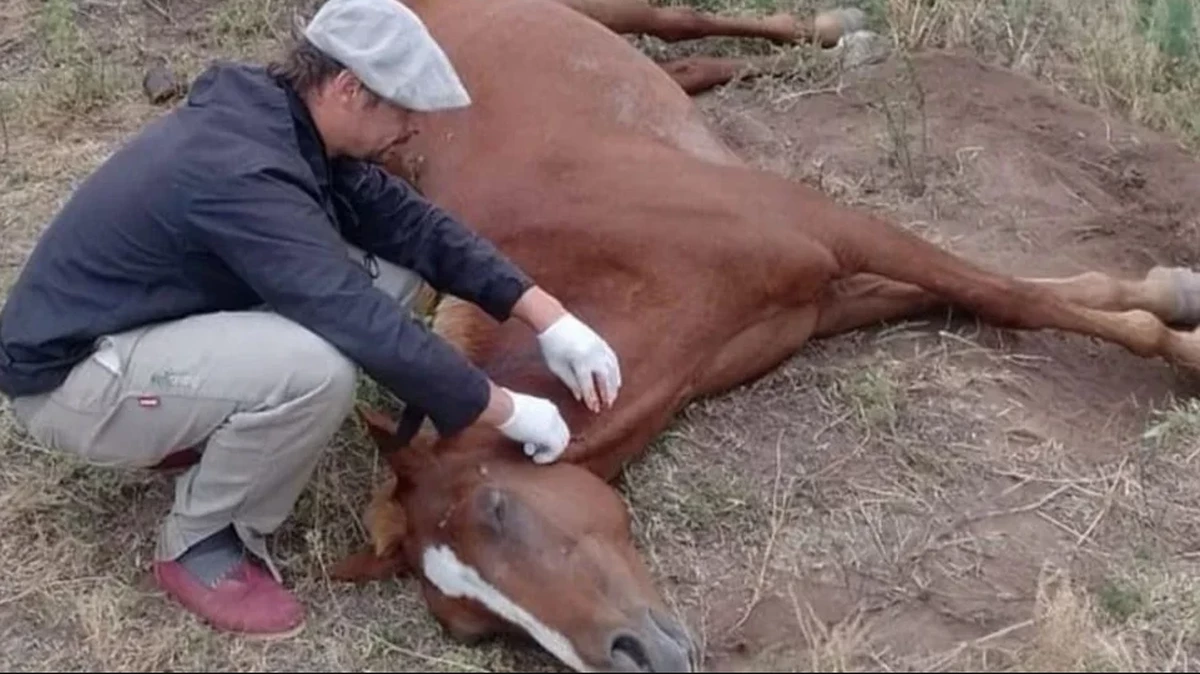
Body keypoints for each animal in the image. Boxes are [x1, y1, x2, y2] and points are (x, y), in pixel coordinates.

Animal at [329, 0, 1200, 671]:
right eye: (470, 627)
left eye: (499, 511)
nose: (636, 657)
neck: (614, 263)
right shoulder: (822, 299)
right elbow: (1003, 295)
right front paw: (1165, 297)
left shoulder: (830, 229)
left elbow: (1005, 294)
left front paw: (1180, 333)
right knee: (694, 66)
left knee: (673, 22)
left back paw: (841, 32)